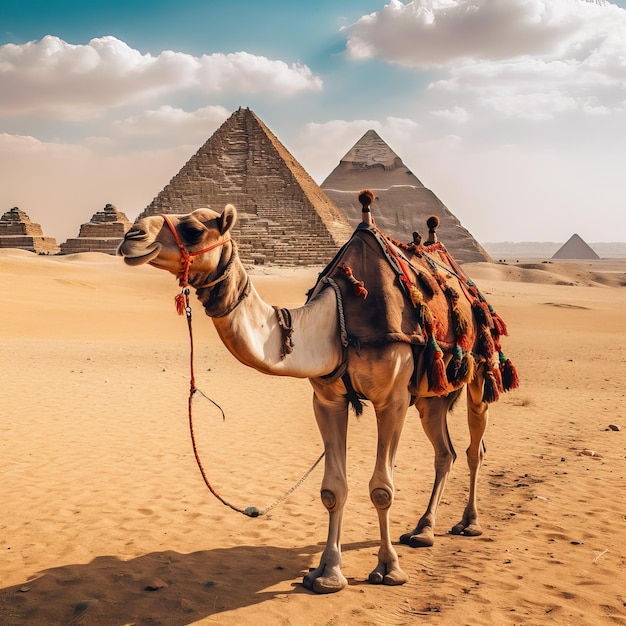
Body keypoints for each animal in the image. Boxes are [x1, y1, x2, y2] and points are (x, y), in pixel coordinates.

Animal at [118, 193, 516, 592]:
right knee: (445, 453)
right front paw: (327, 572)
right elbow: (332, 489)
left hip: (480, 372)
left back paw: (468, 522)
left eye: (194, 229)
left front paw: (388, 568)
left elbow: (382, 488)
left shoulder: (392, 400)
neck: (336, 320)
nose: (130, 237)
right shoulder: (327, 400)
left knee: (474, 448)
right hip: (432, 397)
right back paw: (423, 530)